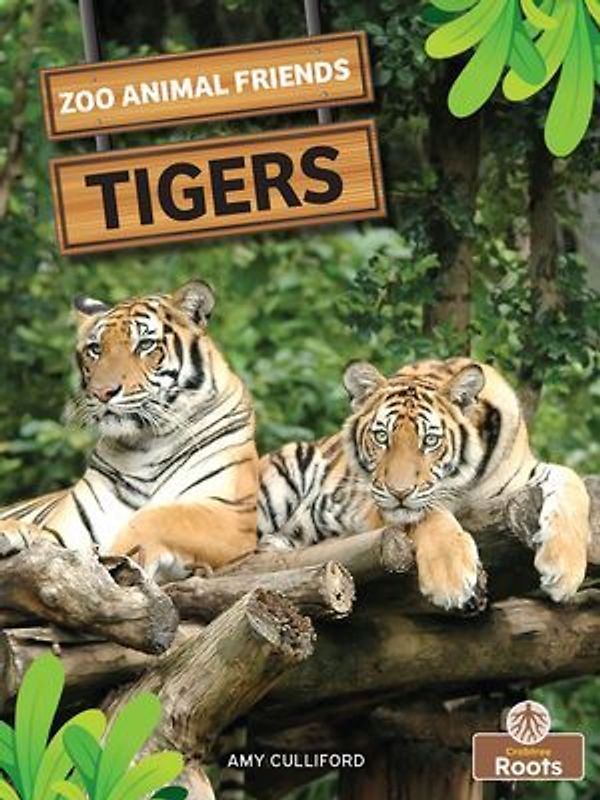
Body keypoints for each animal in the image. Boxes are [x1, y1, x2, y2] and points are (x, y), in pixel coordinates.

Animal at [0, 280, 258, 581]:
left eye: (145, 345)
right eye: (96, 349)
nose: (101, 392)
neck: (148, 442)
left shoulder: (232, 514)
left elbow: (157, 518)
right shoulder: (71, 527)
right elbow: (50, 538)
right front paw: (15, 533)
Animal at [258, 357, 590, 610]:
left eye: (430, 440)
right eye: (382, 437)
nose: (399, 492)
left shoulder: (524, 475)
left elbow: (573, 481)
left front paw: (564, 572)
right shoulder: (379, 502)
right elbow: (430, 515)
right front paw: (451, 579)